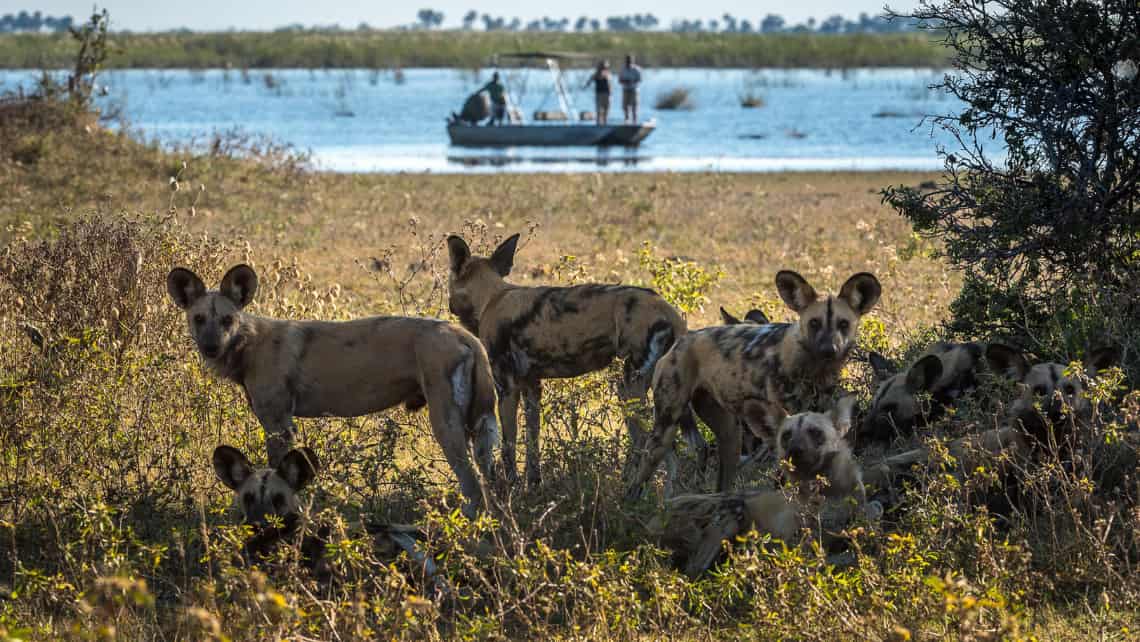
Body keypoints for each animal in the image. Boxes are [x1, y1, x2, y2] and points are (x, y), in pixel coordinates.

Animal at [167, 263, 499, 515]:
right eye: (199, 319)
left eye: (227, 320)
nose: (211, 347)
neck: (248, 344)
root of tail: (464, 335)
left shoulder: (278, 425)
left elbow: (277, 474)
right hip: (479, 428)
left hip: (446, 425)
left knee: (473, 485)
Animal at [446, 233, 684, 490]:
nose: (449, 305)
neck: (491, 298)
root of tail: (670, 312)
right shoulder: (532, 387)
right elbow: (532, 442)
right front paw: (534, 484)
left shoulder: (507, 388)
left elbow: (509, 445)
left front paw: (511, 487)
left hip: (630, 387)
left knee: (644, 441)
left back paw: (629, 488)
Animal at [624, 270, 880, 497]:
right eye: (814, 323)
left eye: (843, 324)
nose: (829, 349)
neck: (815, 369)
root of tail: (681, 340)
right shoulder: (781, 430)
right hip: (664, 430)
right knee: (641, 471)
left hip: (730, 436)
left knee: (722, 482)